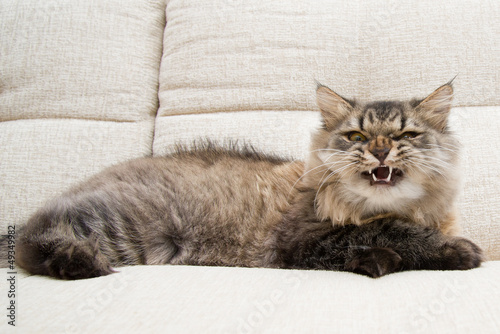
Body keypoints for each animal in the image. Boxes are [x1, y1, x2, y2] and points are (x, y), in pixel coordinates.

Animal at [6, 81, 484, 280]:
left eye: (405, 136)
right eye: (357, 137)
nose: (381, 151)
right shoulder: (301, 239)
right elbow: (389, 233)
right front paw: (457, 252)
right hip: (116, 226)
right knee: (30, 239)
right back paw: (79, 262)